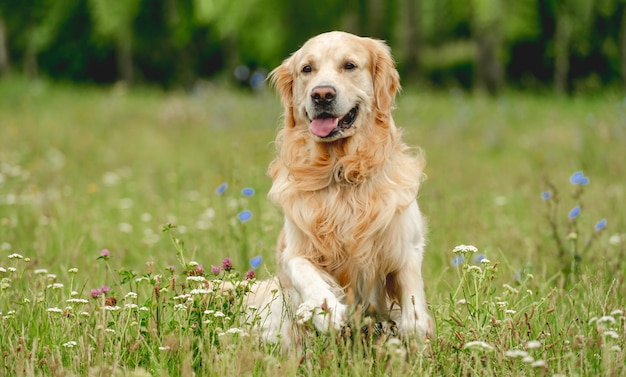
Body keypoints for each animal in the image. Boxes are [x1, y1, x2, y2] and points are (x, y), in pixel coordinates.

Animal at [243, 31, 428, 350]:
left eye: (349, 65)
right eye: (307, 69)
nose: (322, 95)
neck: (340, 170)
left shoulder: (406, 245)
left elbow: (413, 301)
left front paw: (412, 335)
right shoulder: (295, 246)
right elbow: (302, 269)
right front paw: (325, 311)